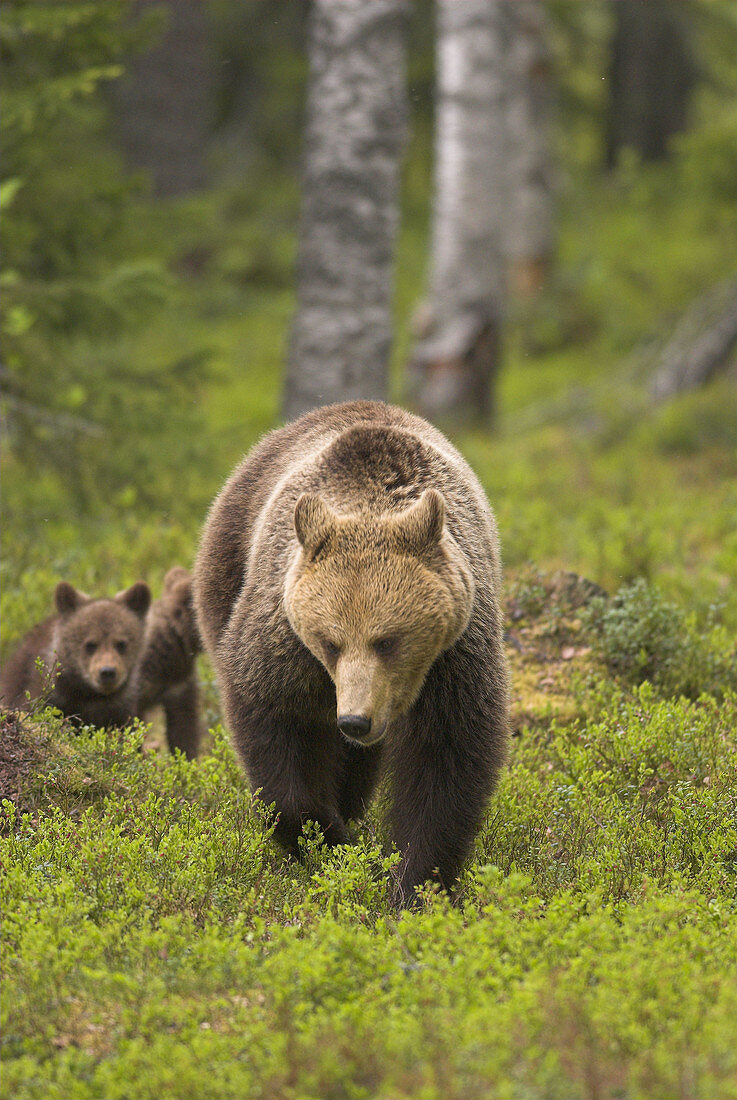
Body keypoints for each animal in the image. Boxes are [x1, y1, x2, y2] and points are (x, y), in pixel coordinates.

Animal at [193, 402, 510, 902]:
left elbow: (446, 756)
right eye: (330, 641)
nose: (355, 721)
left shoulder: (454, 657)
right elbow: (275, 723)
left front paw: (414, 882)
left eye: (388, 640)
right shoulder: (284, 643)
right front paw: (328, 841)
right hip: (226, 566)